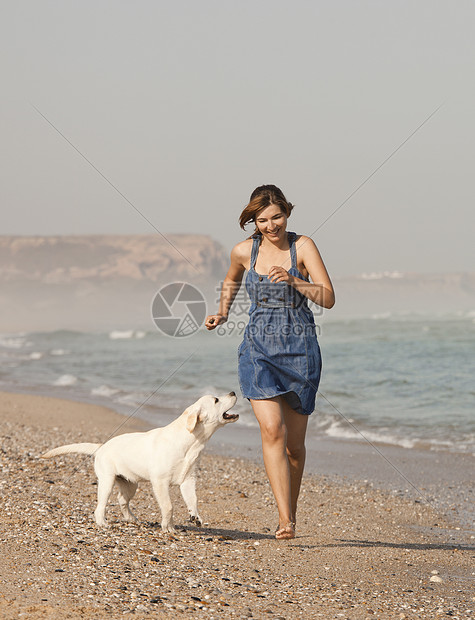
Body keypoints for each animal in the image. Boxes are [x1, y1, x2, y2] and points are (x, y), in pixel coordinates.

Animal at [41, 392, 238, 532]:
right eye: (216, 400)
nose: (234, 392)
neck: (191, 443)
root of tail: (101, 446)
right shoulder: (160, 482)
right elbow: (168, 506)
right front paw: (168, 527)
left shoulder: (188, 480)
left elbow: (193, 500)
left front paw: (194, 517)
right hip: (107, 481)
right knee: (100, 506)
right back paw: (102, 523)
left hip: (130, 484)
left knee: (122, 500)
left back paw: (131, 519)